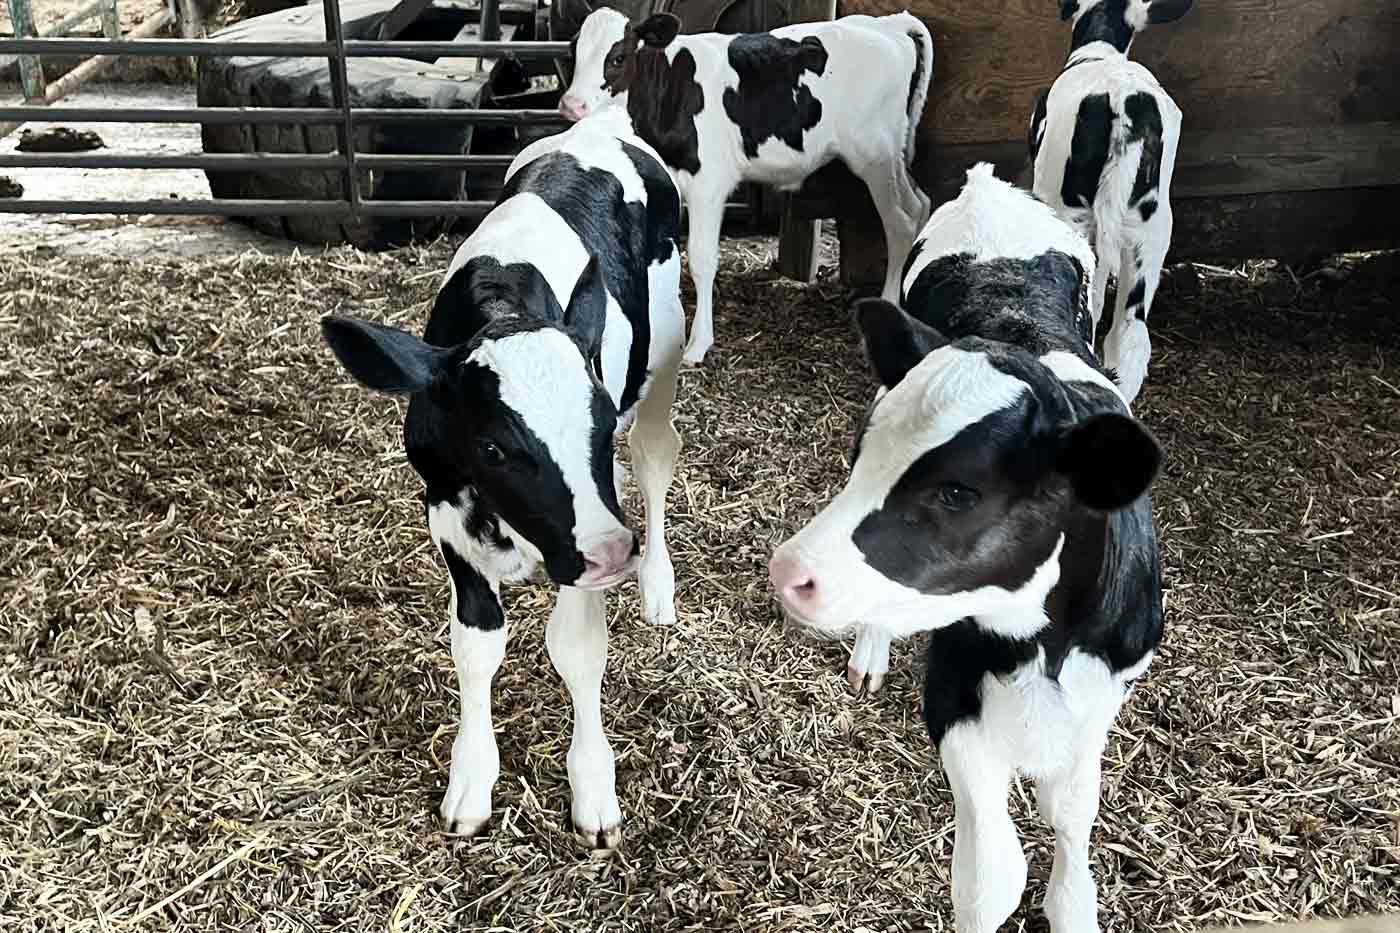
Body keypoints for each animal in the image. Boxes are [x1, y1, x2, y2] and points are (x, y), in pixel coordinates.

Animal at [319, 103, 685, 849]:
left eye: (598, 422)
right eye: (492, 448)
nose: (613, 554)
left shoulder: (584, 535)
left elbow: (576, 647)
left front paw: (593, 787)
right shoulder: (445, 514)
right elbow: (477, 644)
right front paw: (471, 778)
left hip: (668, 349)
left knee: (656, 456)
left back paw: (658, 585)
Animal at [560, 7, 934, 366]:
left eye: (618, 56)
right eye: (572, 51)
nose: (570, 104)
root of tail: (888, 23)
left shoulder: (709, 183)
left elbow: (701, 259)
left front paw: (698, 345)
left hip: (874, 156)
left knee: (900, 221)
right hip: (893, 157)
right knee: (920, 205)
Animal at [769, 164, 1164, 933]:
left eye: (958, 492)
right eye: (860, 456)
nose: (790, 570)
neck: (1041, 644)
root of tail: (991, 188)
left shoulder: (1104, 695)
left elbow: (1072, 810)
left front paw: (1074, 900)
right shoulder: (952, 691)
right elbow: (989, 877)